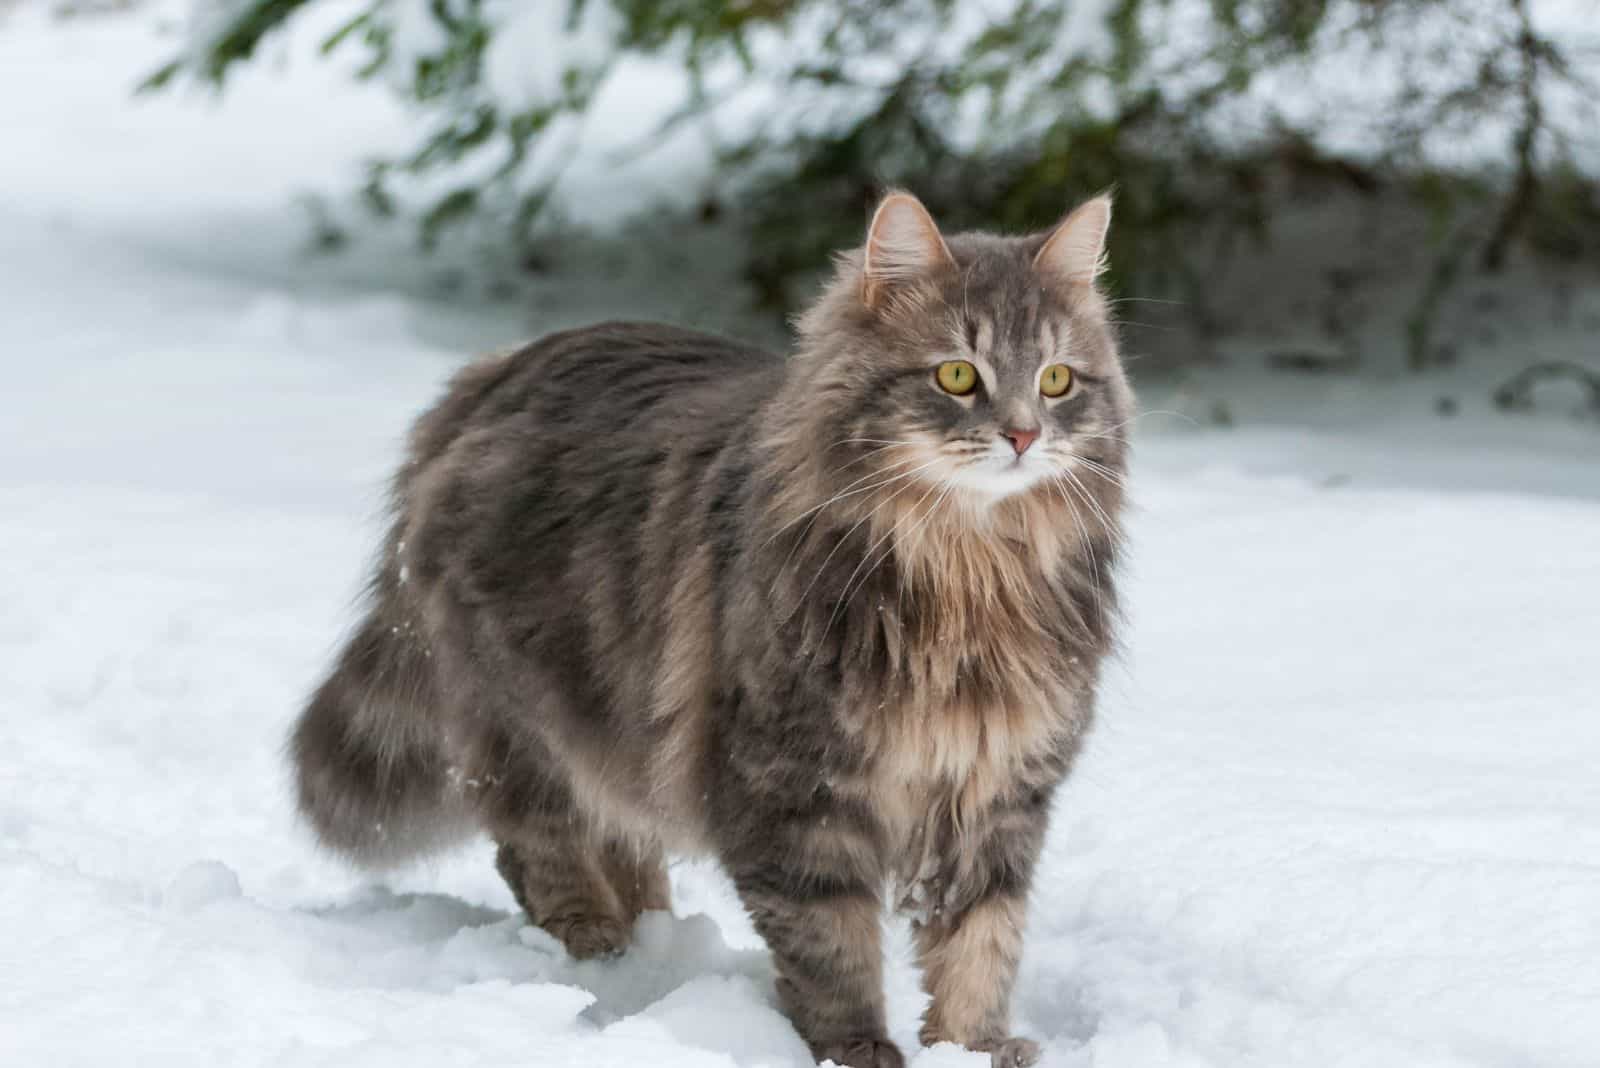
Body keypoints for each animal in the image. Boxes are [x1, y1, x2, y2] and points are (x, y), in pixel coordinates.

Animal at [291, 191, 1139, 1068]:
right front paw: (857, 1047)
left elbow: (981, 938)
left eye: (1057, 380)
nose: (1024, 435)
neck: (967, 572)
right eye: (958, 375)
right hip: (527, 716)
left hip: (617, 725)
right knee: (539, 843)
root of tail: (487, 378)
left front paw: (973, 1047)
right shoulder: (794, 792)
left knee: (622, 838)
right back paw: (599, 945)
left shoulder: (999, 790)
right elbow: (831, 944)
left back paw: (650, 939)